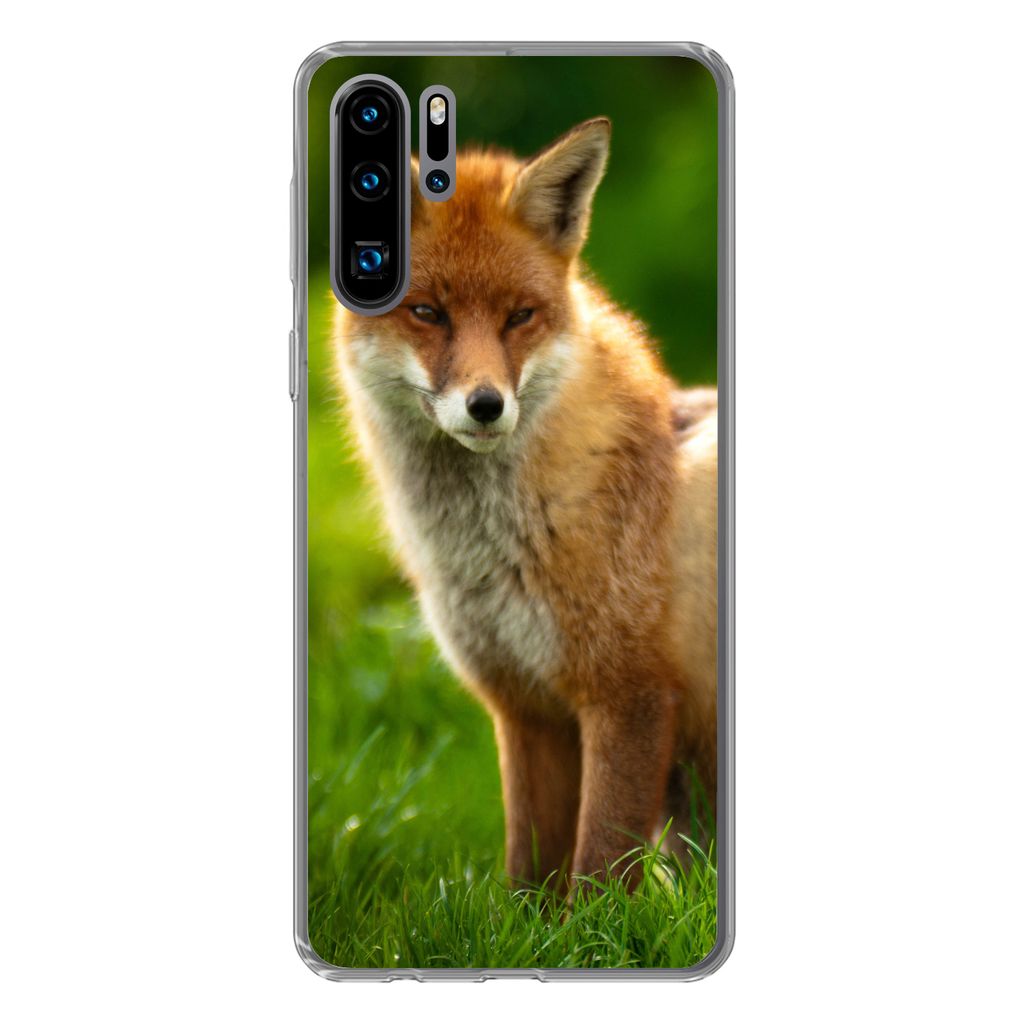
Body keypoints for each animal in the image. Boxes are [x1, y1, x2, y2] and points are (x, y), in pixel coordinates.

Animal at [331, 117, 717, 890]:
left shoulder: (629, 696)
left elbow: (599, 869)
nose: (486, 405)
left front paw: (596, 922)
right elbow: (527, 877)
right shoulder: (523, 707)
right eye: (427, 313)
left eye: (519, 317)